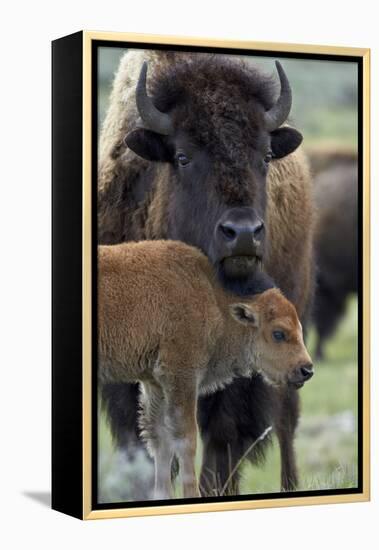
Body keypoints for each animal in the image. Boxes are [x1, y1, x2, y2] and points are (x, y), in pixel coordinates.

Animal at [98, 242, 314, 500]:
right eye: (278, 333)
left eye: (299, 328)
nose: (306, 369)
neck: (212, 298)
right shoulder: (182, 376)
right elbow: (187, 439)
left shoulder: (155, 383)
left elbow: (161, 441)